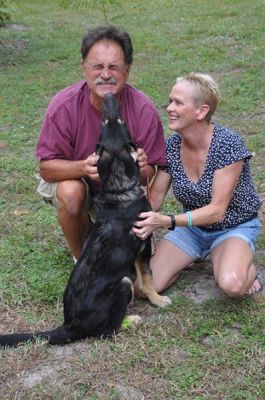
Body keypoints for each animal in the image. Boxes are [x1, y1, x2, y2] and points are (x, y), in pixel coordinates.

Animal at [0, 94, 169, 346]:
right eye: (115, 121)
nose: (108, 95)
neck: (119, 187)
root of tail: (69, 325)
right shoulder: (144, 245)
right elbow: (148, 278)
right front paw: (158, 299)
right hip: (122, 285)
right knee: (106, 331)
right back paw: (132, 320)